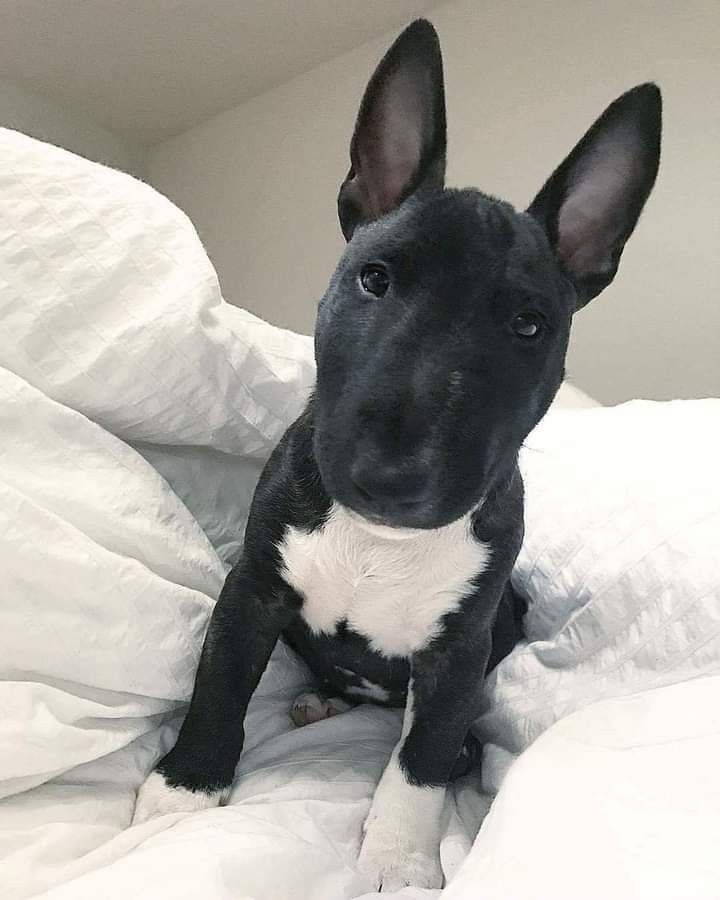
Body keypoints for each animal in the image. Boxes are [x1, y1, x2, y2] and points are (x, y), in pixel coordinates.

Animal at [132, 17, 660, 888]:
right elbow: (219, 687)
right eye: (374, 279)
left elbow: (420, 757)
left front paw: (398, 860)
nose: (393, 478)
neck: (379, 541)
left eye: (529, 325)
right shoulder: (253, 591)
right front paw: (186, 788)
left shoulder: (458, 652)